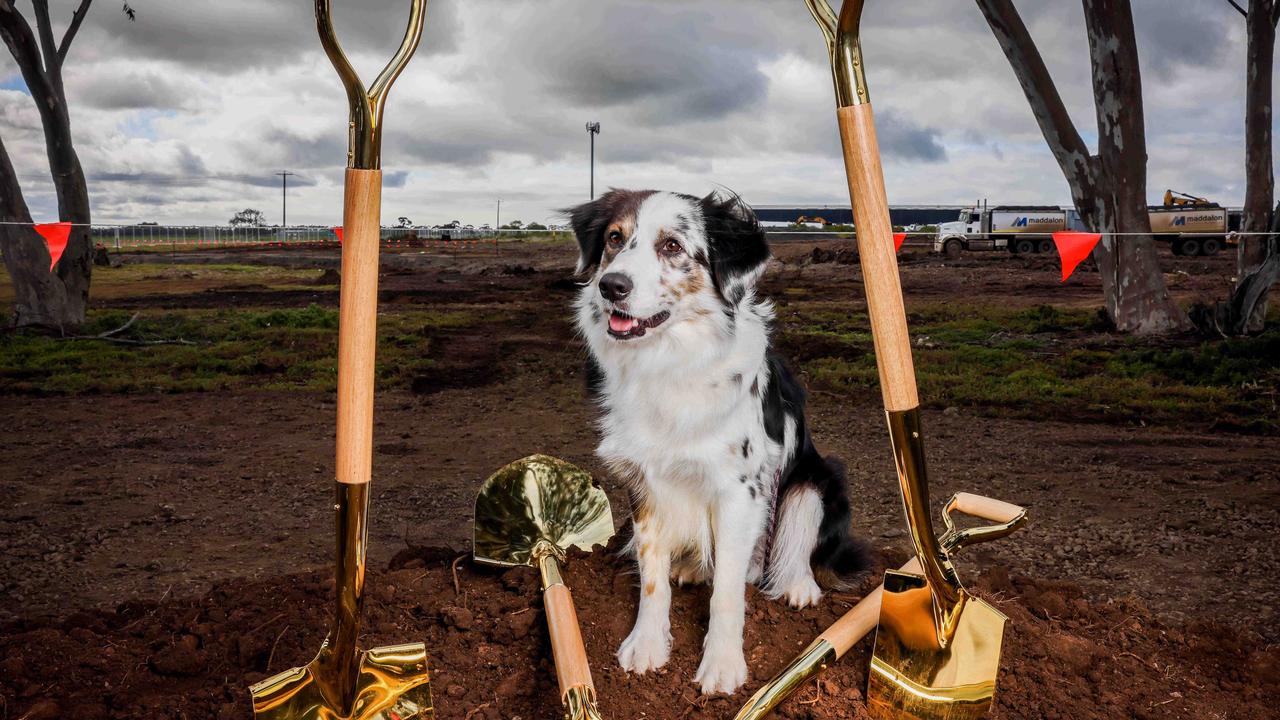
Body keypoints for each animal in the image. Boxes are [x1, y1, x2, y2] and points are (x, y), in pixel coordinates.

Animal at [570, 188, 870, 691]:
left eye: (672, 246)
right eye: (614, 238)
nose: (611, 286)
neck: (670, 361)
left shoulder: (741, 490)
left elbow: (728, 588)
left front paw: (723, 664)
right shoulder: (645, 481)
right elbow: (652, 576)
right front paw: (648, 645)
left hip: (818, 476)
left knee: (799, 537)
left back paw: (798, 584)